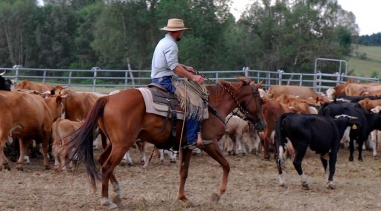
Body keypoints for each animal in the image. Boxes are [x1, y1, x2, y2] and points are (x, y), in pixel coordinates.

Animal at [63, 76, 264, 209]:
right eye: (261, 100)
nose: (262, 124)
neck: (213, 107)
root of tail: (108, 97)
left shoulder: (186, 146)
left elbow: (184, 172)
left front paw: (183, 197)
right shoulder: (210, 143)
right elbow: (226, 165)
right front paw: (217, 194)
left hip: (114, 142)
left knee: (102, 160)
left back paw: (118, 192)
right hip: (121, 144)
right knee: (107, 165)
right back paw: (107, 200)